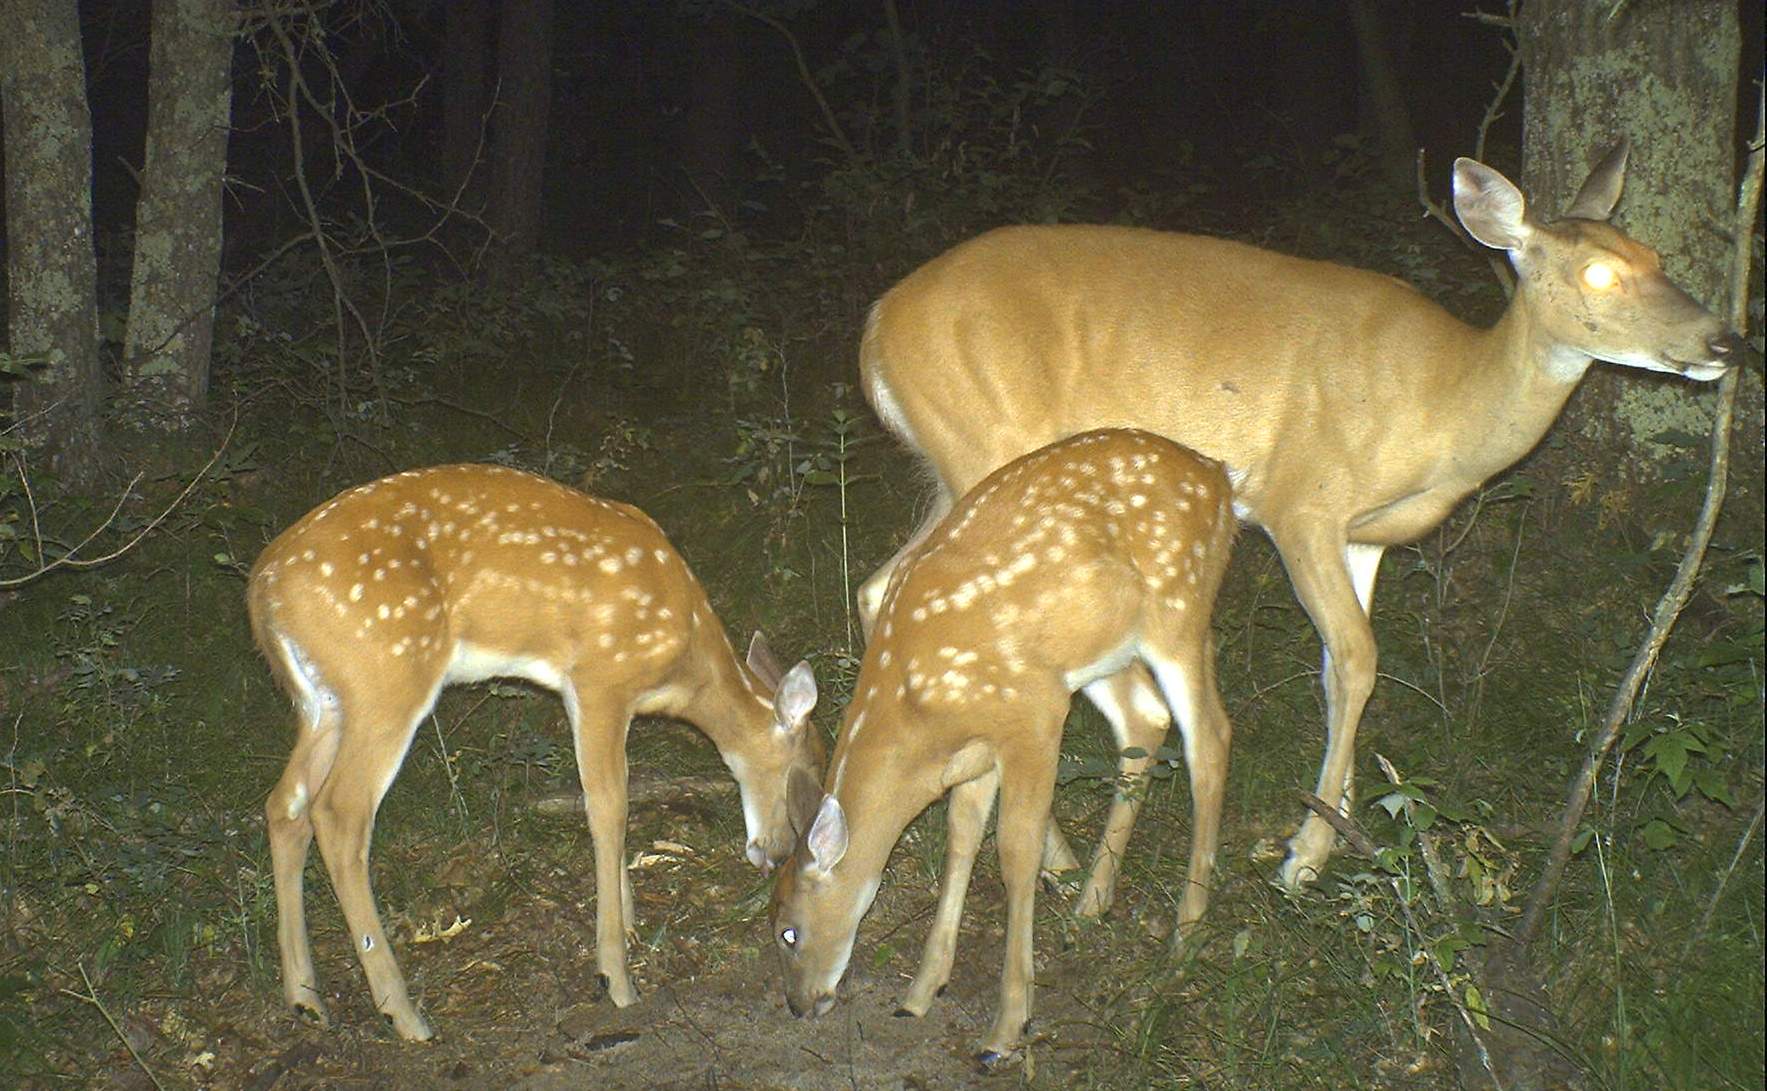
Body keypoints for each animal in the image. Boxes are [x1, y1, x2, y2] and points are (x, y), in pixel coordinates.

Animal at [247, 463, 824, 1041]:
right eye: (805, 777)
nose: (774, 856)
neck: (685, 670)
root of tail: (261, 591)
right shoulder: (602, 678)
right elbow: (609, 807)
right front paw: (616, 977)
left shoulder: (577, 694)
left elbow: (605, 799)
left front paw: (629, 925)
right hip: (387, 677)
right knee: (339, 813)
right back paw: (403, 1013)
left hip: (321, 704)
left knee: (285, 805)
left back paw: (305, 997)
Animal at [771, 429, 1237, 1066]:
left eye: (789, 931)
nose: (798, 1004)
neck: (914, 709)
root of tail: (1220, 480)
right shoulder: (978, 749)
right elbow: (962, 836)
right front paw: (922, 990)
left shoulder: (1031, 713)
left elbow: (1016, 852)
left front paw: (1006, 1028)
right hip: (1100, 652)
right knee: (1145, 718)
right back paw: (1091, 903)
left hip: (1177, 610)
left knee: (1210, 737)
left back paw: (1184, 940)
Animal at [852, 142, 1742, 901]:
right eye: (1597, 273)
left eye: (1655, 257)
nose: (1725, 340)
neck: (1443, 407)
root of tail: (875, 329)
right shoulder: (1300, 498)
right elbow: (1355, 656)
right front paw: (1304, 855)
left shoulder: (1364, 534)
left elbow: (1336, 670)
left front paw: (1338, 830)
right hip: (989, 446)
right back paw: (1053, 859)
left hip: (956, 466)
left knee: (881, 583)